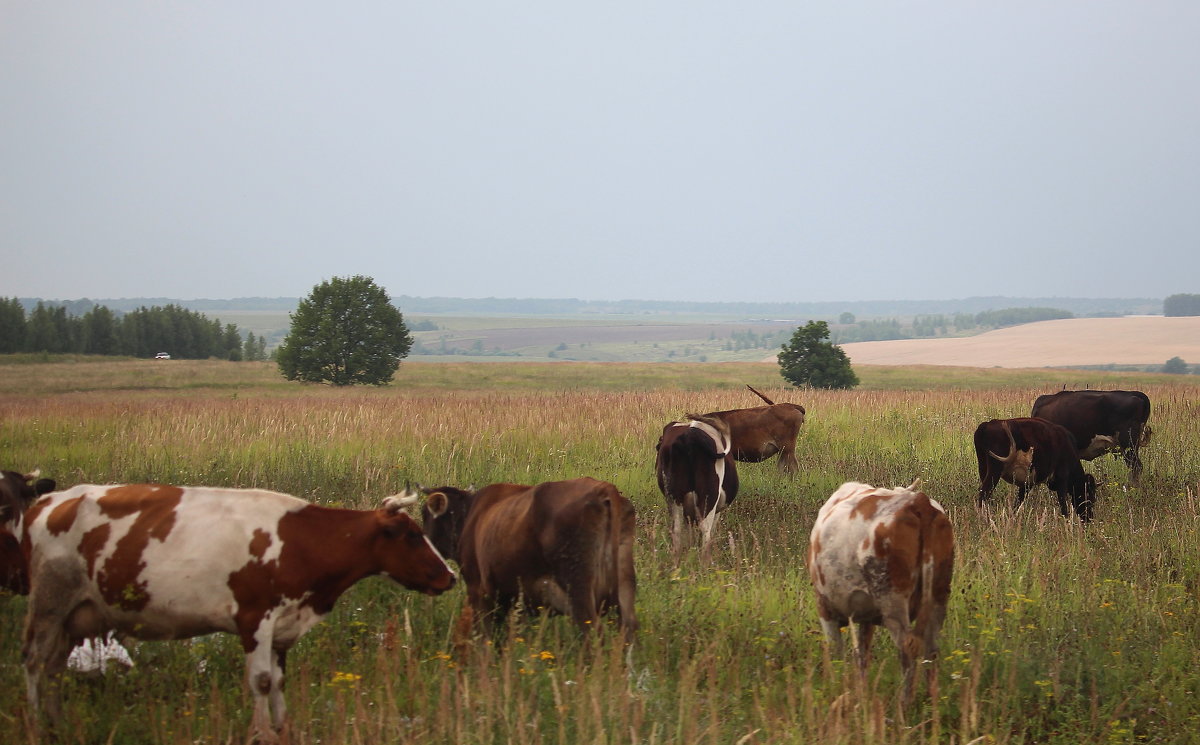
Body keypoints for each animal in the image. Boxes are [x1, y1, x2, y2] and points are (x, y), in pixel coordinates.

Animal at [22, 482, 453, 739]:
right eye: (412, 536)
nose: (449, 577)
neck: (303, 542)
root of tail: (49, 501)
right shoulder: (254, 617)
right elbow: (260, 680)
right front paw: (261, 733)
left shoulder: (283, 623)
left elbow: (279, 680)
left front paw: (283, 728)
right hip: (48, 602)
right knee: (34, 660)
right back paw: (35, 723)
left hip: (75, 615)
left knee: (54, 669)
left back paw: (56, 724)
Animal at [420, 479, 638, 638]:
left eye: (425, 514)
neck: (470, 517)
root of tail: (603, 489)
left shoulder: (478, 591)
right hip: (624, 587)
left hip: (578, 588)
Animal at [806, 479, 955, 705]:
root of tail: (917, 501)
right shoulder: (865, 616)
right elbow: (862, 655)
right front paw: (861, 694)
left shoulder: (824, 607)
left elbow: (837, 655)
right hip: (939, 594)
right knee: (932, 649)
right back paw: (933, 703)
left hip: (891, 597)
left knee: (908, 646)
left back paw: (904, 705)